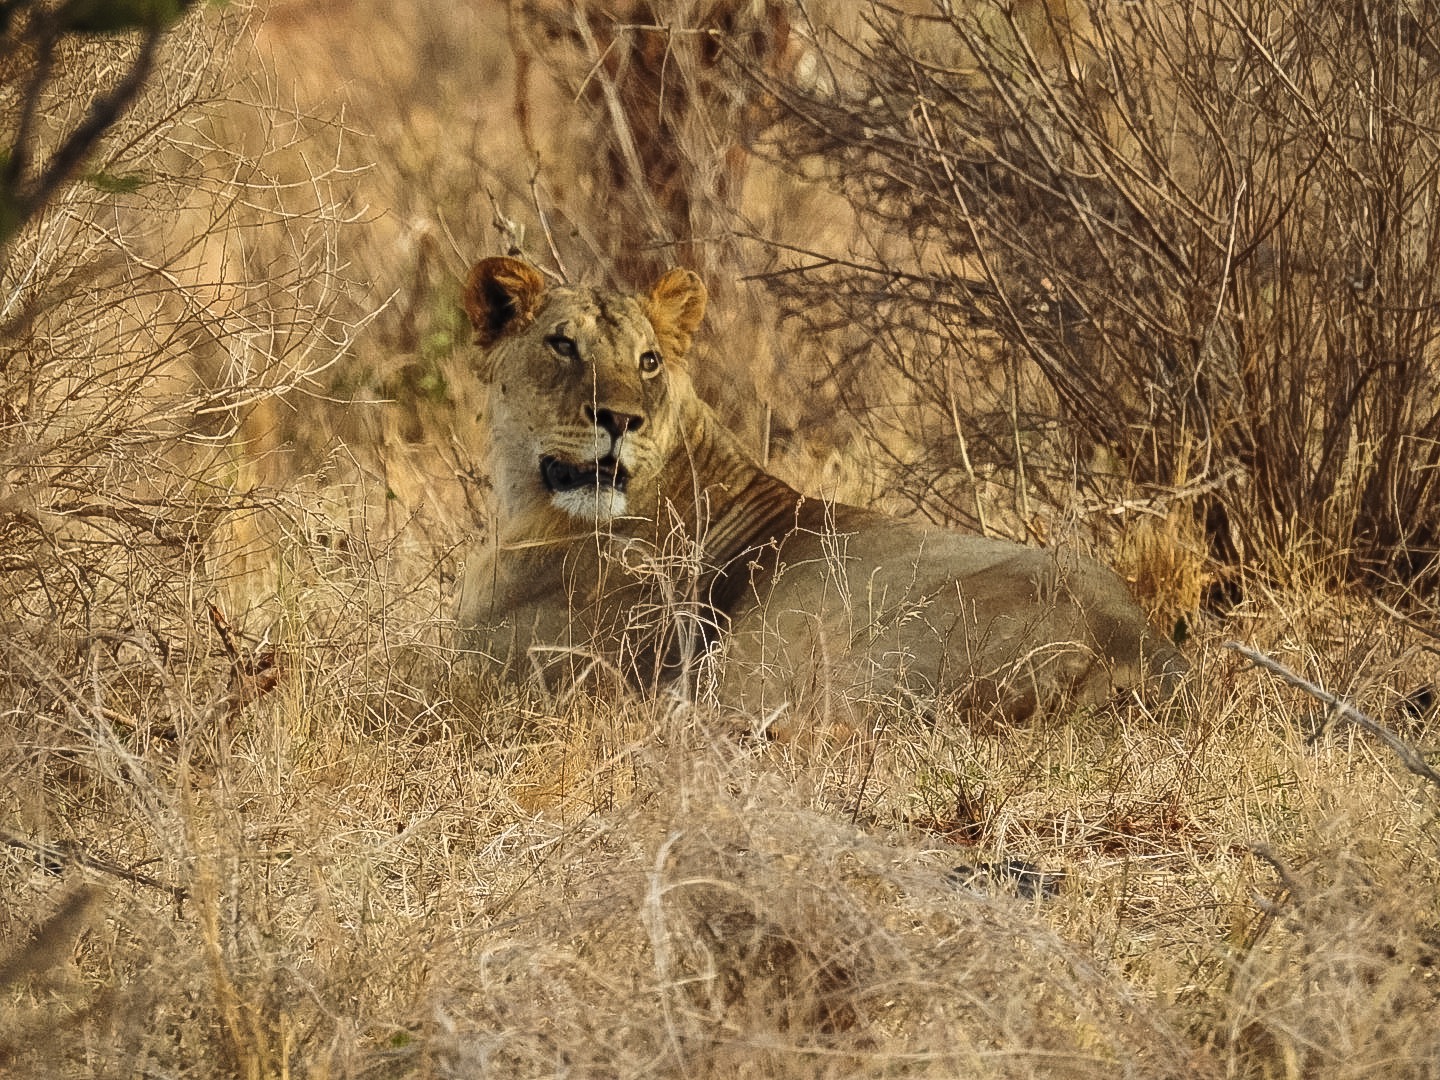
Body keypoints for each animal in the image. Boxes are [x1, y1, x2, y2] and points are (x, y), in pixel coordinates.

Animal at [455, 256, 1187, 727]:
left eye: (649, 360)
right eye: (562, 345)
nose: (619, 419)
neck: (535, 505)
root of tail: (1144, 644)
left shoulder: (492, 676)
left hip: (838, 666)